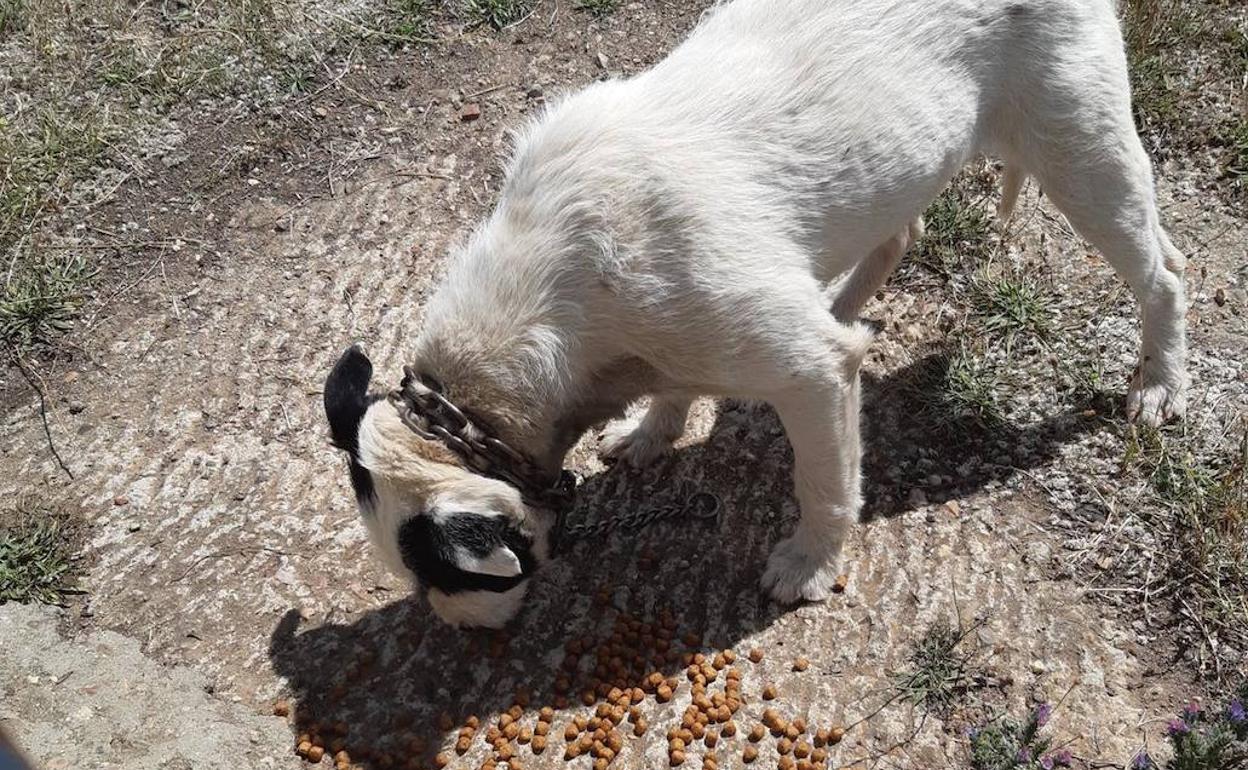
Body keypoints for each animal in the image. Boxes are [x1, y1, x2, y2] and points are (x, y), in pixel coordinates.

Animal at [321, 0, 1188, 623]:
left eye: (457, 579)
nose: (461, 635)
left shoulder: (808, 371)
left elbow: (825, 480)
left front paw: (810, 563)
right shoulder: (681, 340)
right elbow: (675, 389)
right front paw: (653, 431)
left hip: (1081, 156)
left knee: (1164, 274)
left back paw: (1160, 383)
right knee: (899, 235)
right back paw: (844, 304)